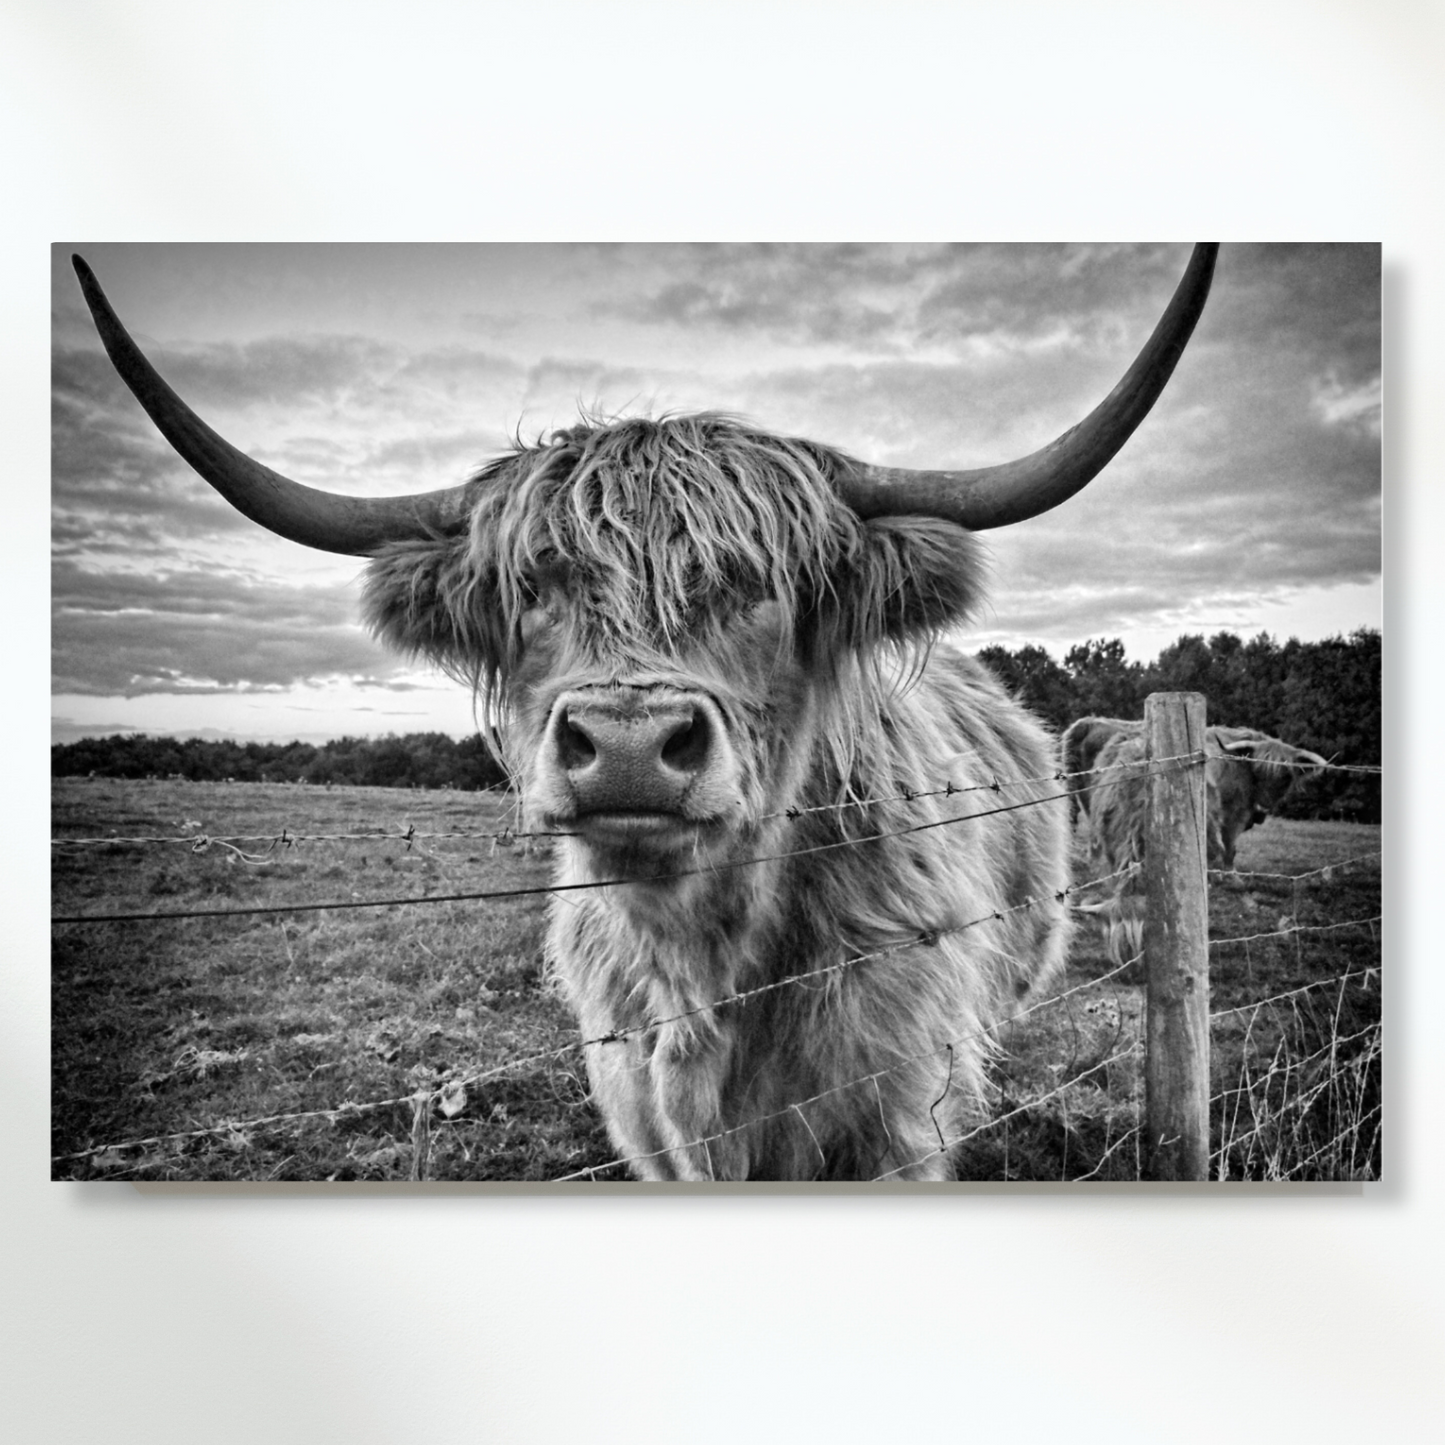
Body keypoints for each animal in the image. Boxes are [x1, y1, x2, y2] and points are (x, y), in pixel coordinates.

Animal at [71, 244, 1217, 1181]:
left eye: (760, 587)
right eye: (532, 587)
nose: (626, 746)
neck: (701, 972)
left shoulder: (895, 1119)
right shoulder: (642, 1117)